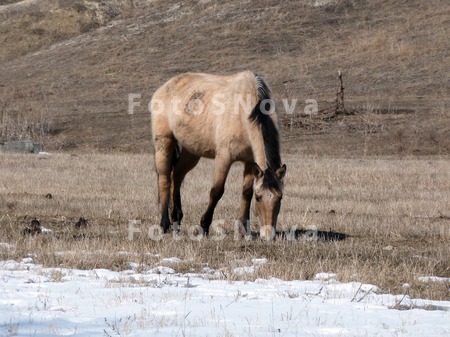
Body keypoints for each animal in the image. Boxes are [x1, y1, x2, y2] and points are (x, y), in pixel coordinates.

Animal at [150, 71, 284, 239]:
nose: (267, 235)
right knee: (164, 180)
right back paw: (164, 224)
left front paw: (245, 230)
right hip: (163, 142)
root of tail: (164, 87)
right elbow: (216, 191)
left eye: (280, 197)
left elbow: (246, 192)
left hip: (191, 151)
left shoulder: (250, 161)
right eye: (259, 198)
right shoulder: (224, 158)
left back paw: (176, 219)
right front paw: (204, 226)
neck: (244, 112)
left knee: (177, 175)